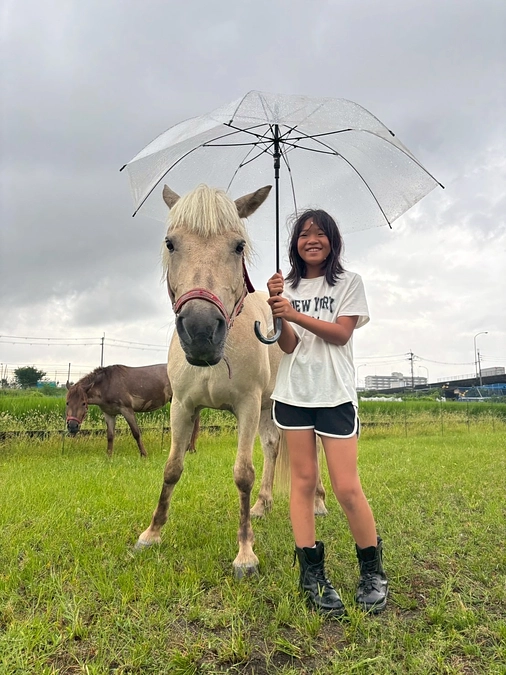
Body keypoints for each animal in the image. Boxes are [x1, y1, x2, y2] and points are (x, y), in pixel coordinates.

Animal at [65, 364, 199, 457]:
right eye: (67, 403)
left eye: (83, 403)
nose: (72, 426)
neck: (107, 384)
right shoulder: (109, 414)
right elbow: (110, 436)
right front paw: (109, 456)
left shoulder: (127, 410)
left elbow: (136, 433)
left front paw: (144, 454)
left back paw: (191, 448)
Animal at [135, 184, 327, 577]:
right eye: (170, 243)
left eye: (238, 246)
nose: (200, 331)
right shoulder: (183, 407)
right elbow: (172, 468)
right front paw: (151, 533)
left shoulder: (247, 406)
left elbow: (242, 473)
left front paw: (245, 554)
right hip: (270, 407)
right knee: (272, 445)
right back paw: (263, 505)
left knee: (314, 448)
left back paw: (317, 503)